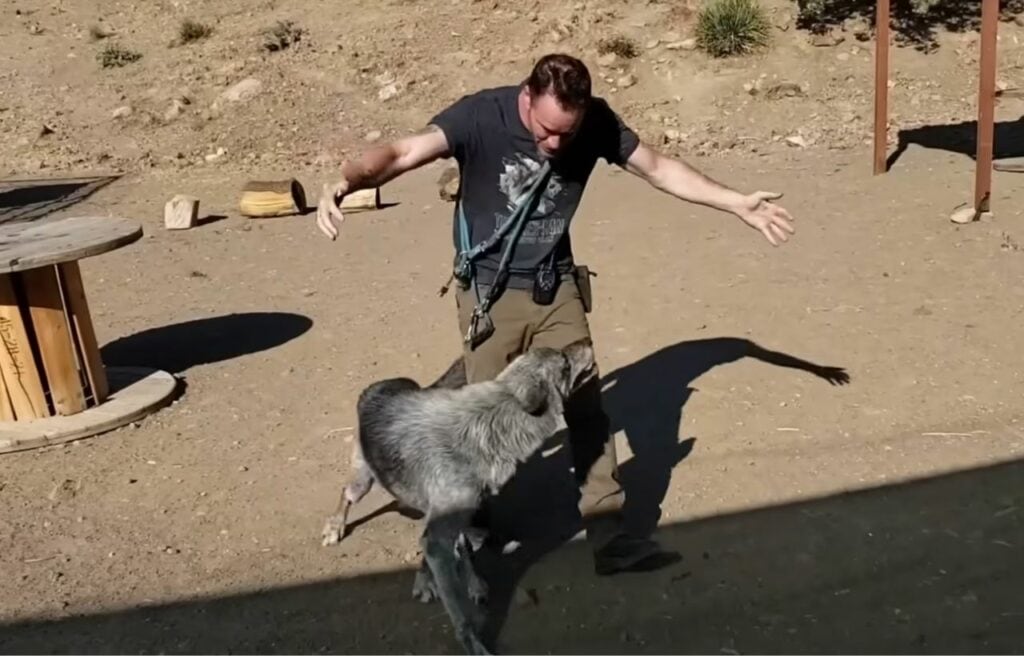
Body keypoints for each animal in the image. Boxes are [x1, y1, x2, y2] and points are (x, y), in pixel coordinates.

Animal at [321, 337, 597, 655]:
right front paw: (474, 645)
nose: (587, 340)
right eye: (564, 362)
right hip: (363, 482)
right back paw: (335, 528)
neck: (491, 428)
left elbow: (457, 553)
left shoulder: (451, 520)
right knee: (346, 494)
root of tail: (382, 385)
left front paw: (465, 583)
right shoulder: (439, 536)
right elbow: (461, 615)